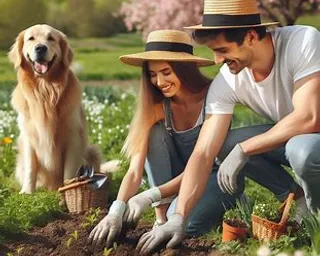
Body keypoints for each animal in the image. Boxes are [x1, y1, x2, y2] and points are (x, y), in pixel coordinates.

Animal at [8, 24, 110, 194]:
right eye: (31, 38)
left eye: (51, 38)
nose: (40, 48)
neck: (45, 89)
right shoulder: (28, 137)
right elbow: (30, 168)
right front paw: (27, 191)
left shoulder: (73, 136)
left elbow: (69, 171)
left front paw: (69, 188)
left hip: (92, 150)